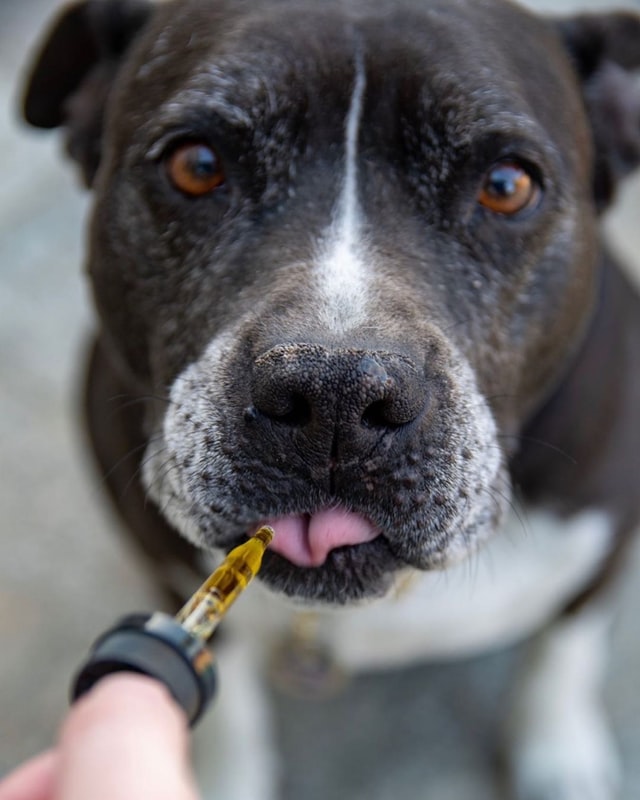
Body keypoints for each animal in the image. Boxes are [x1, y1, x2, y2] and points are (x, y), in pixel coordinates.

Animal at [20, 1, 640, 792]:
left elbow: (566, 648)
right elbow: (231, 703)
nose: (336, 394)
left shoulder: (607, 542)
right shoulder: (169, 576)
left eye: (506, 185)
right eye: (197, 166)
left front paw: (559, 754)